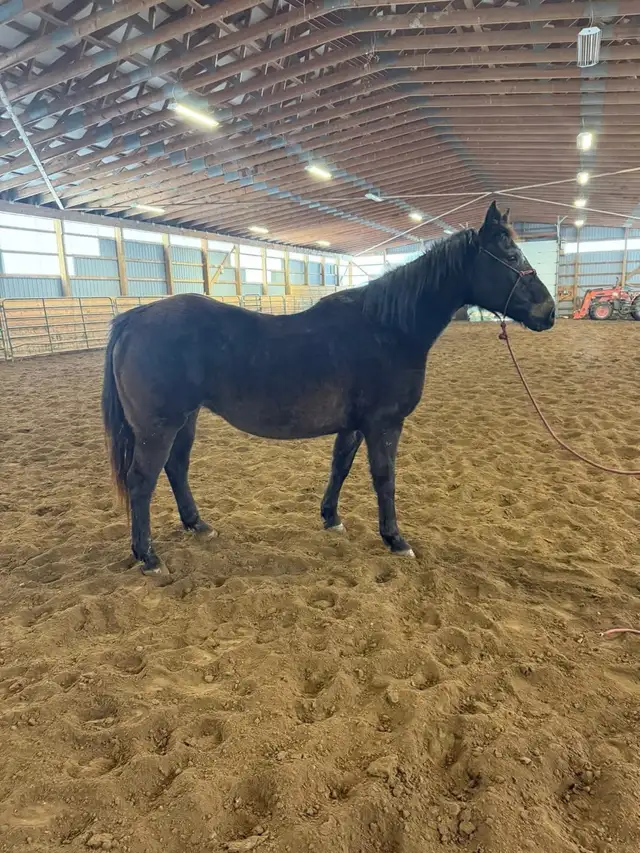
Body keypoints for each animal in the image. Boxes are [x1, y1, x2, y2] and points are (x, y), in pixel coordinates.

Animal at [102, 201, 555, 574]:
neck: (387, 328)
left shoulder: (353, 426)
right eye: (511, 256)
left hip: (186, 420)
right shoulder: (383, 424)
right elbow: (384, 478)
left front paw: (331, 518)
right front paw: (395, 539)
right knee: (142, 481)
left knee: (176, 468)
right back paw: (148, 557)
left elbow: (340, 466)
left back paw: (198, 525)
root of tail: (135, 317)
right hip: (158, 428)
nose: (549, 312)